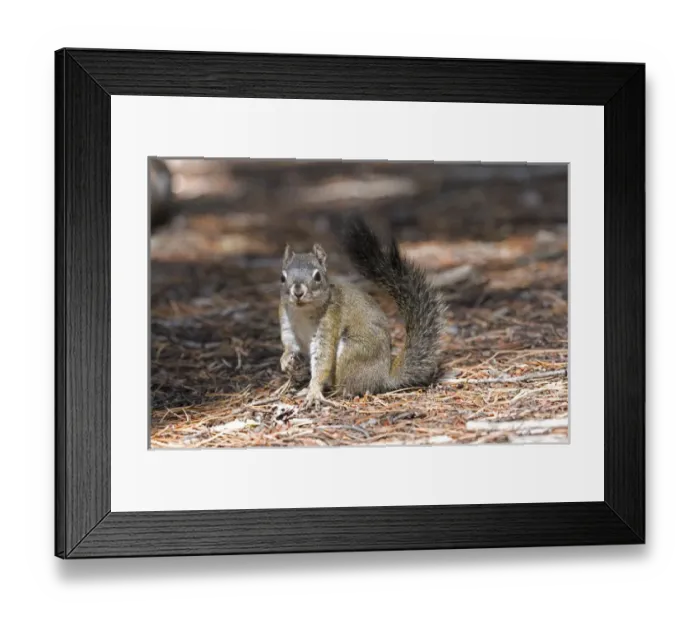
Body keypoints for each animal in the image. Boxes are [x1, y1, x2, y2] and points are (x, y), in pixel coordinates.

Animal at [279, 216, 446, 409]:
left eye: (318, 276)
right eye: (282, 277)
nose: (298, 292)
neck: (303, 312)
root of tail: (383, 378)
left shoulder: (329, 321)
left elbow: (323, 357)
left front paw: (314, 392)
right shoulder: (286, 320)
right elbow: (290, 342)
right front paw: (286, 360)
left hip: (353, 351)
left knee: (350, 386)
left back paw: (337, 391)